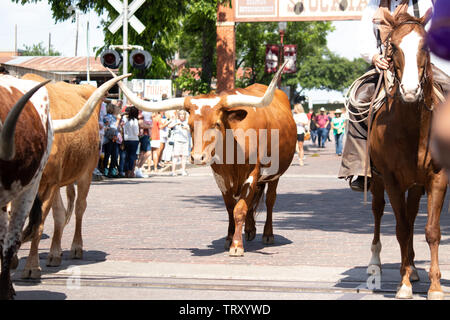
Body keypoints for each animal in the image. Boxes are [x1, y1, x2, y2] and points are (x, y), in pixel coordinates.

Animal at [368, 10, 448, 300]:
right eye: (393, 46)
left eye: (426, 47)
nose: (411, 91)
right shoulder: (391, 181)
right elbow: (401, 229)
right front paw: (403, 285)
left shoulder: (437, 178)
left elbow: (431, 231)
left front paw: (435, 286)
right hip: (378, 181)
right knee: (379, 212)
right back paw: (376, 264)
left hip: (415, 185)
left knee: (413, 216)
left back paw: (412, 267)